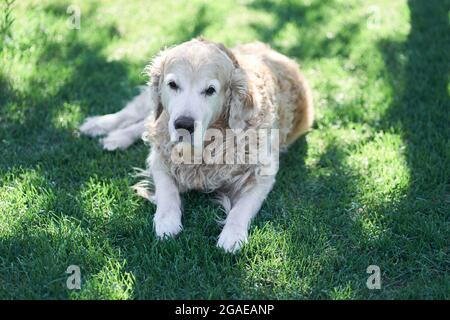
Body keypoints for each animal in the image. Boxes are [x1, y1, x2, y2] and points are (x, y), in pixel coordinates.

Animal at [79, 38, 312, 252]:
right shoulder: (160, 158)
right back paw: (101, 127)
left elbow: (241, 209)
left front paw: (232, 235)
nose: (183, 124)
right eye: (173, 85)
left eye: (210, 90)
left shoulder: (263, 175)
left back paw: (115, 137)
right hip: (153, 109)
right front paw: (167, 222)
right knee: (136, 116)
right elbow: (167, 192)